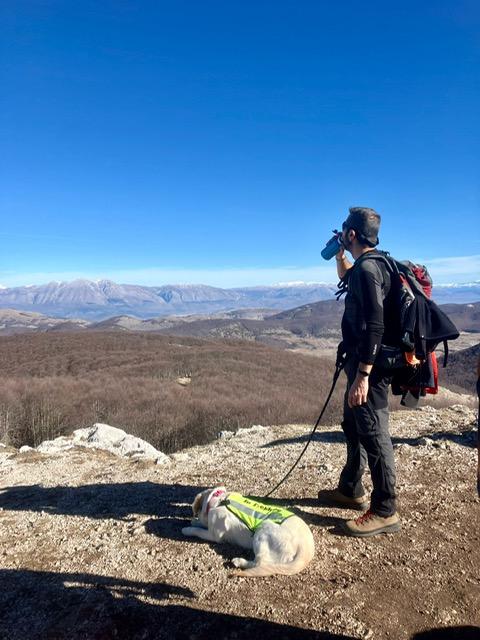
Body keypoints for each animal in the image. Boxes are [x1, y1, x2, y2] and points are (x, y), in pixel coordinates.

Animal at [181, 488, 316, 576]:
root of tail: (306, 548)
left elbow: (198, 531)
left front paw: (187, 529)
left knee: (260, 563)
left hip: (262, 530)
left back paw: (239, 561)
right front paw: (194, 521)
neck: (219, 500)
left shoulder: (214, 535)